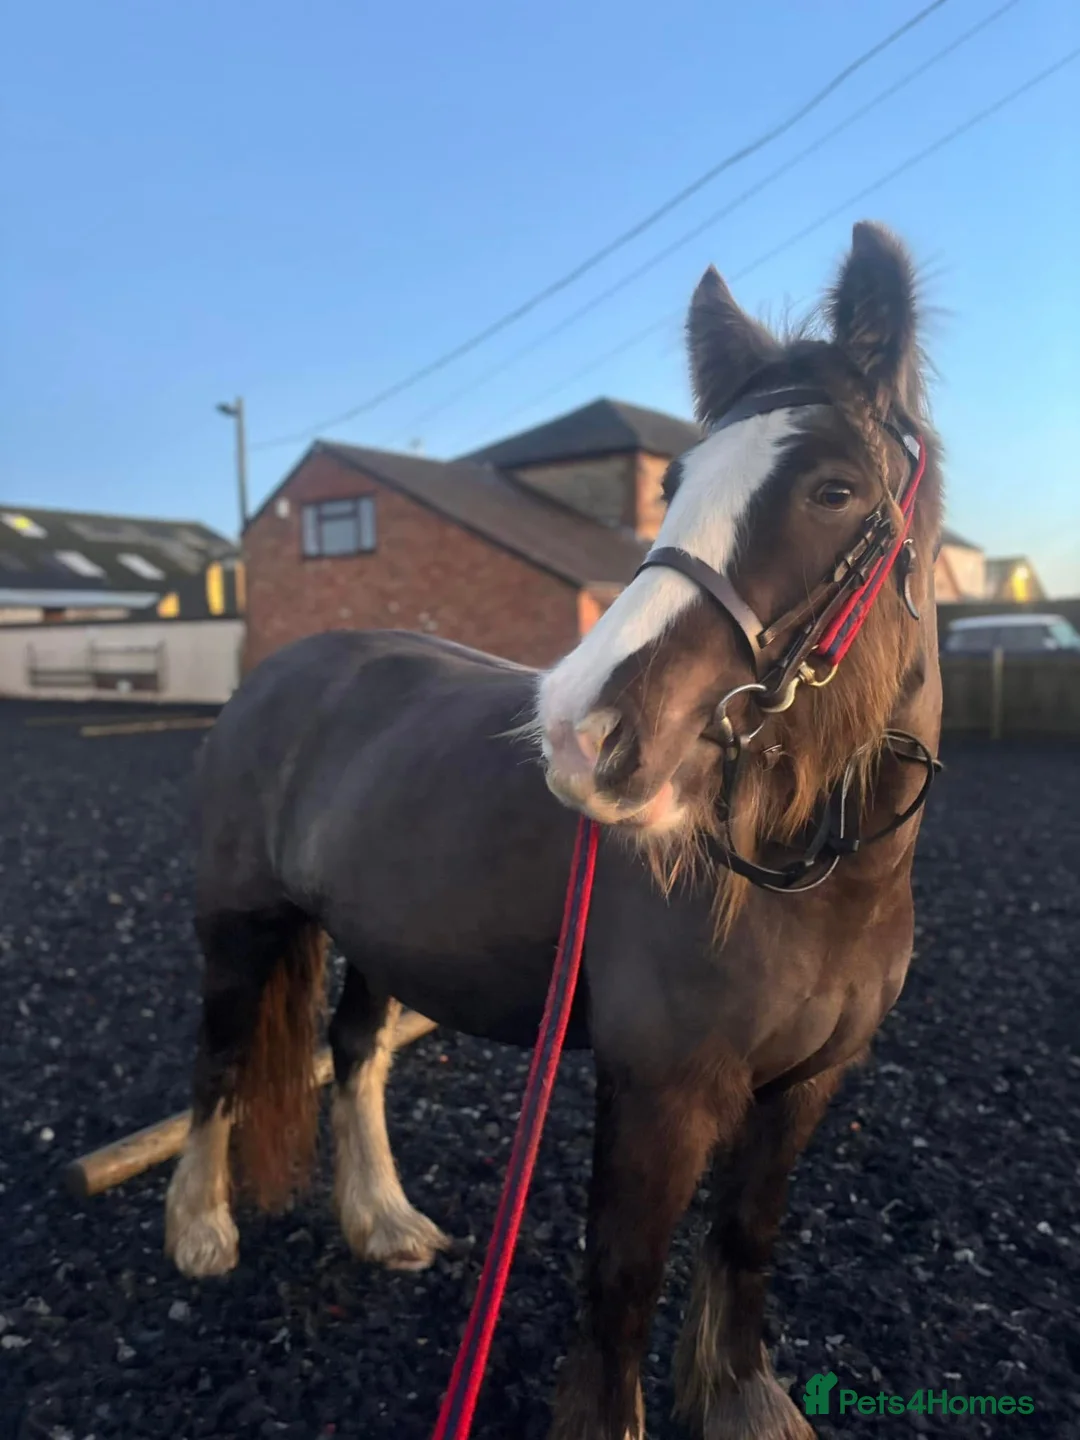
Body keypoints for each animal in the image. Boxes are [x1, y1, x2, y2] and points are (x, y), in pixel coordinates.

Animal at [165, 220, 943, 1440]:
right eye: (671, 483)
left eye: (834, 487)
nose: (581, 733)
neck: (820, 887)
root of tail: (272, 672)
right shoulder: (661, 1090)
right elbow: (620, 1282)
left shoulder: (806, 1086)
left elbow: (744, 1240)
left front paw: (738, 1396)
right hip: (241, 923)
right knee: (222, 1057)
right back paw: (201, 1228)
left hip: (380, 934)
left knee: (353, 1052)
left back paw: (381, 1220)